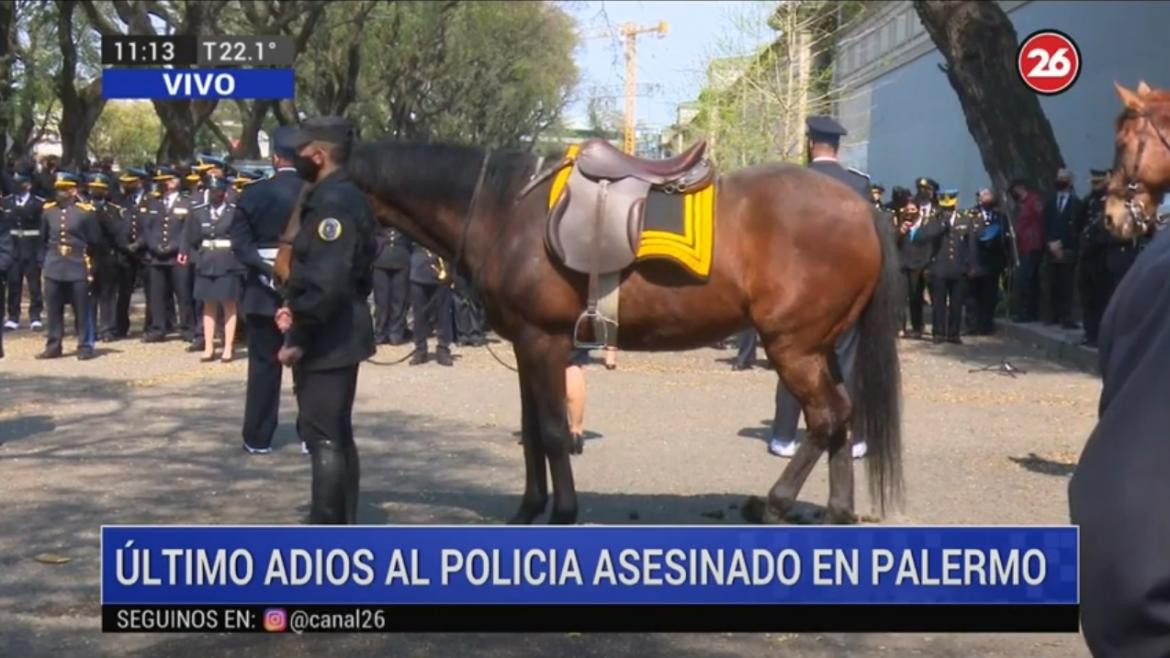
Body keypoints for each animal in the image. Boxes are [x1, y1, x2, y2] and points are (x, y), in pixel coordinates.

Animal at [346, 143, 903, 522]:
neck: (504, 208)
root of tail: (860, 208)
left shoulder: (543, 341)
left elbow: (553, 430)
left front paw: (563, 511)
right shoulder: (527, 344)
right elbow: (532, 429)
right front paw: (529, 507)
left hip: (793, 346)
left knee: (826, 415)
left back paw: (777, 502)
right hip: (820, 345)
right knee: (842, 413)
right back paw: (836, 510)